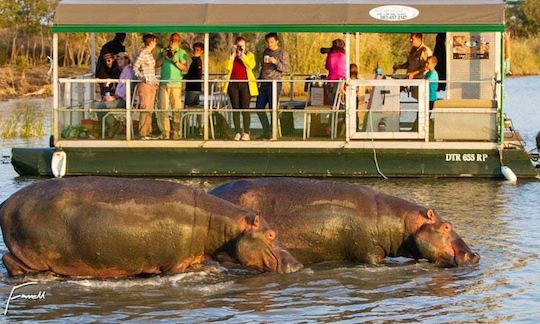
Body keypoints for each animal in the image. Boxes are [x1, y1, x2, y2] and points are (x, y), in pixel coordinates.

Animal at [0, 177, 304, 278]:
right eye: (271, 234)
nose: (298, 265)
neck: (220, 224)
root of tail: (6, 203)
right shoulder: (175, 264)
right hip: (32, 255)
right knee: (9, 261)